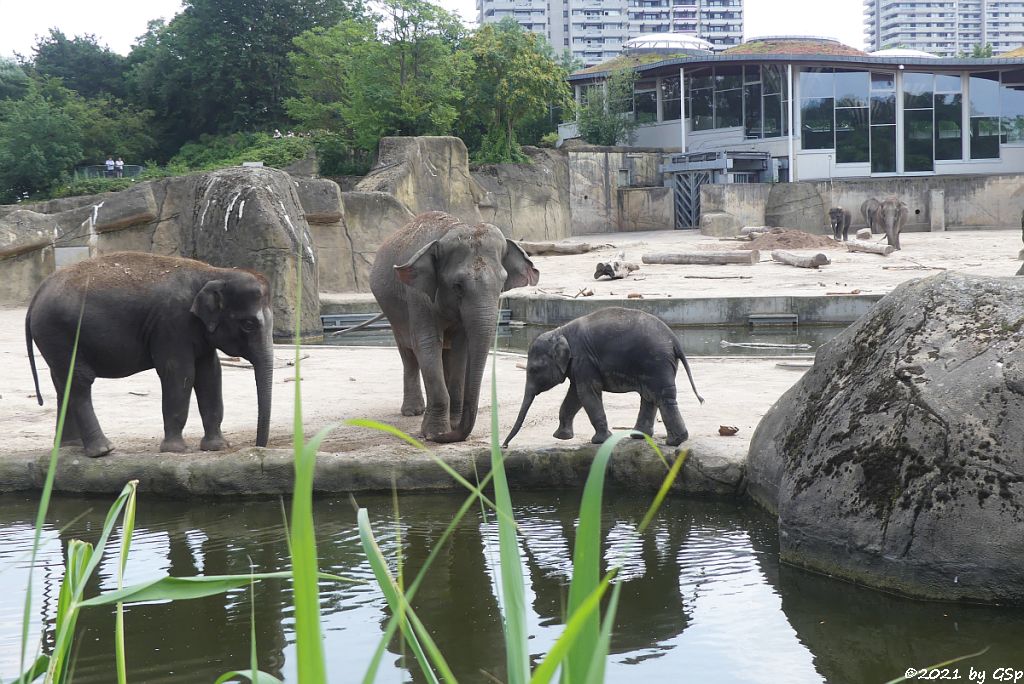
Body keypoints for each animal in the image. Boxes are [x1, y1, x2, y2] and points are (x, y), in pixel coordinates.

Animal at [27, 252, 274, 458]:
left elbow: (210, 374)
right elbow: (179, 373)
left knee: (61, 382)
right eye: (248, 325)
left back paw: (70, 447)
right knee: (78, 380)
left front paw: (217, 447)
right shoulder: (172, 323)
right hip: (58, 331)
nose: (258, 447)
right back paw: (102, 451)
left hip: (54, 338)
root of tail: (37, 294)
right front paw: (175, 451)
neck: (214, 272)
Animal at [372, 210, 540, 440]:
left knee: (445, 353)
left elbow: (461, 349)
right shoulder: (417, 295)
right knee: (408, 352)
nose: (444, 437)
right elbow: (427, 343)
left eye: (502, 284)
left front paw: (449, 426)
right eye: (458, 285)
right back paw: (413, 411)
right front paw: (435, 433)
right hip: (393, 312)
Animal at [503, 305, 704, 446]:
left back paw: (674, 442)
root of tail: (674, 340)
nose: (504, 446)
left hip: (656, 363)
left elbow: (586, 393)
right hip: (655, 365)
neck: (560, 331)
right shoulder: (578, 365)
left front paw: (600, 441)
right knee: (650, 396)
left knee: (661, 397)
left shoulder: (583, 359)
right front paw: (561, 437)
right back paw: (640, 436)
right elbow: (575, 395)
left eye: (533, 370)